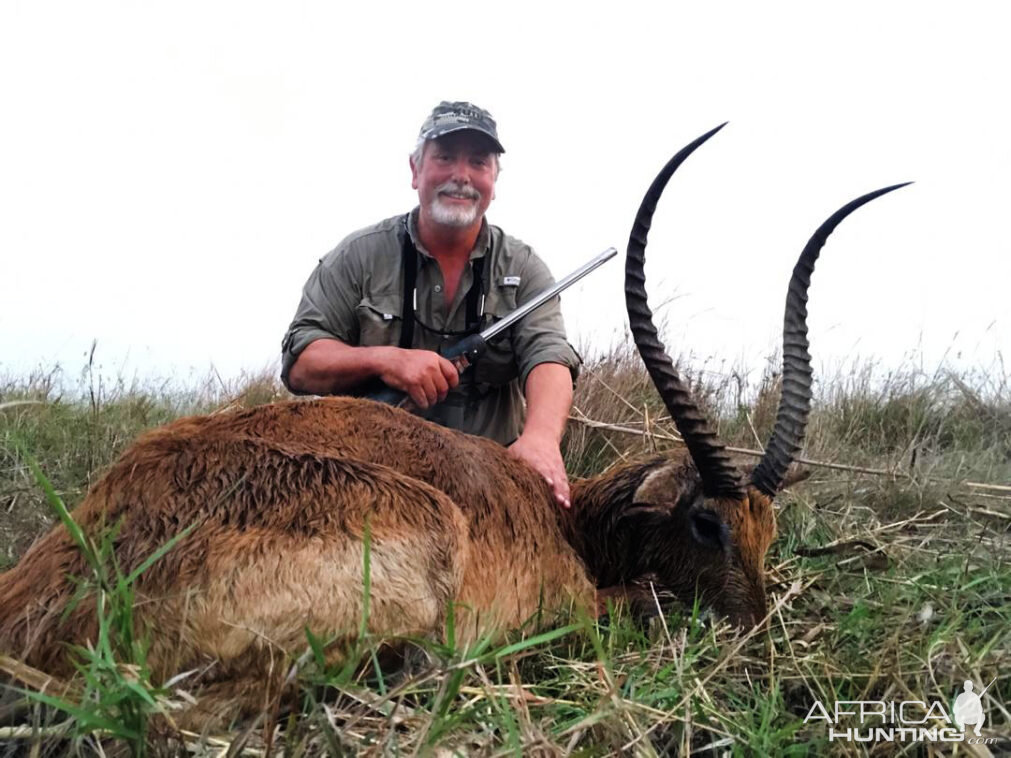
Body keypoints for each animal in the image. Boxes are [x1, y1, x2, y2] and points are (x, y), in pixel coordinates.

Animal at [0, 127, 901, 727]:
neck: (563, 517)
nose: (758, 644)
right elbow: (642, 599)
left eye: (766, 528)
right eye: (706, 523)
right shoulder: (580, 601)